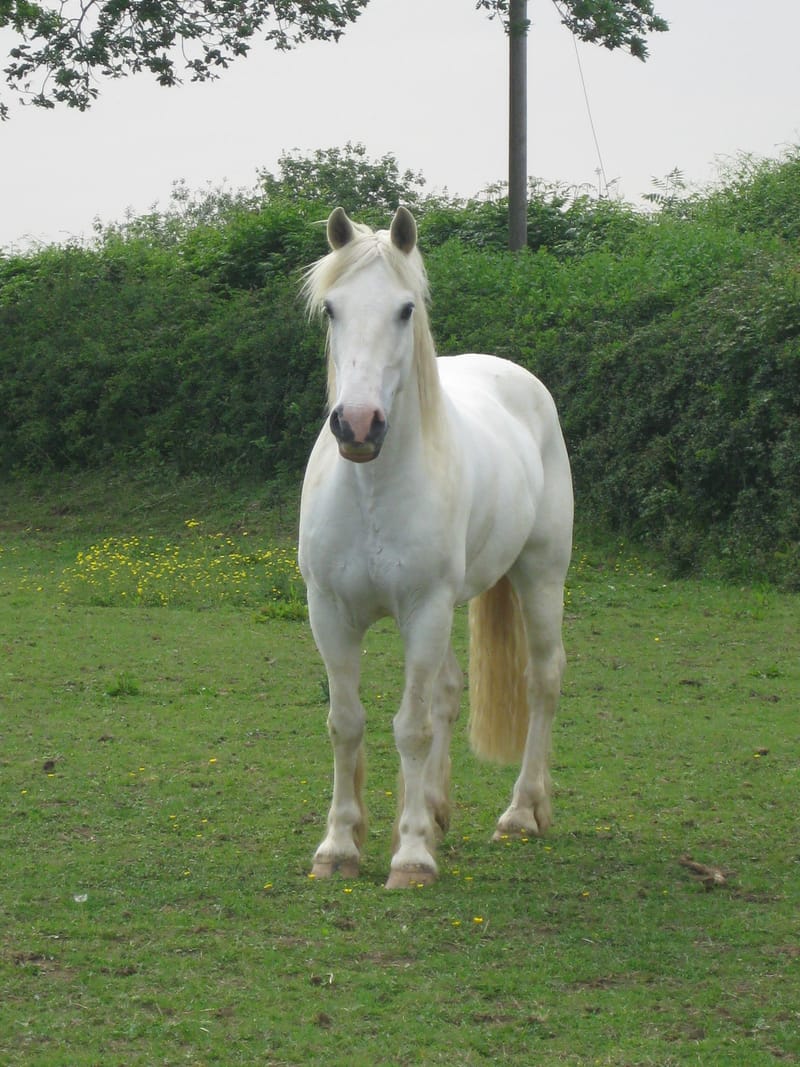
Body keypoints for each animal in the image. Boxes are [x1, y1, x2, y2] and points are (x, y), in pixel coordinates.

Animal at [298, 206, 573, 889]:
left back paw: (522, 813)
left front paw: (413, 855)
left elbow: (412, 729)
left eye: (405, 310)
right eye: (332, 309)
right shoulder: (329, 613)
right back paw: (437, 809)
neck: (371, 490)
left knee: (543, 680)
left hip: (540, 575)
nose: (358, 424)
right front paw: (339, 845)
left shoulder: (423, 610)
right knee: (449, 689)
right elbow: (346, 723)